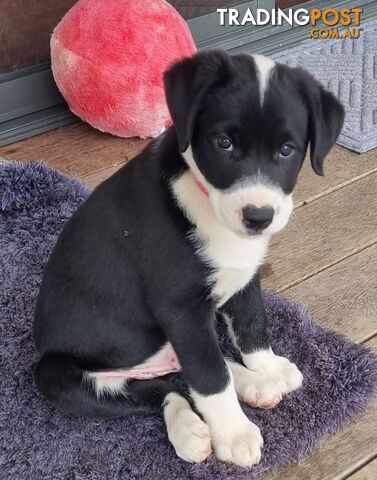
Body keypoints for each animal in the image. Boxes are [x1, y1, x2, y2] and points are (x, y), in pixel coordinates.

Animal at [34, 50, 344, 466]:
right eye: (224, 143)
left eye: (287, 149)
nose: (258, 216)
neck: (205, 201)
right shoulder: (179, 307)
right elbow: (210, 377)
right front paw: (234, 433)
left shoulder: (244, 279)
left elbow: (252, 327)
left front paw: (267, 366)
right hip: (56, 374)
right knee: (170, 386)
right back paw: (190, 430)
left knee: (186, 371)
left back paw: (254, 384)